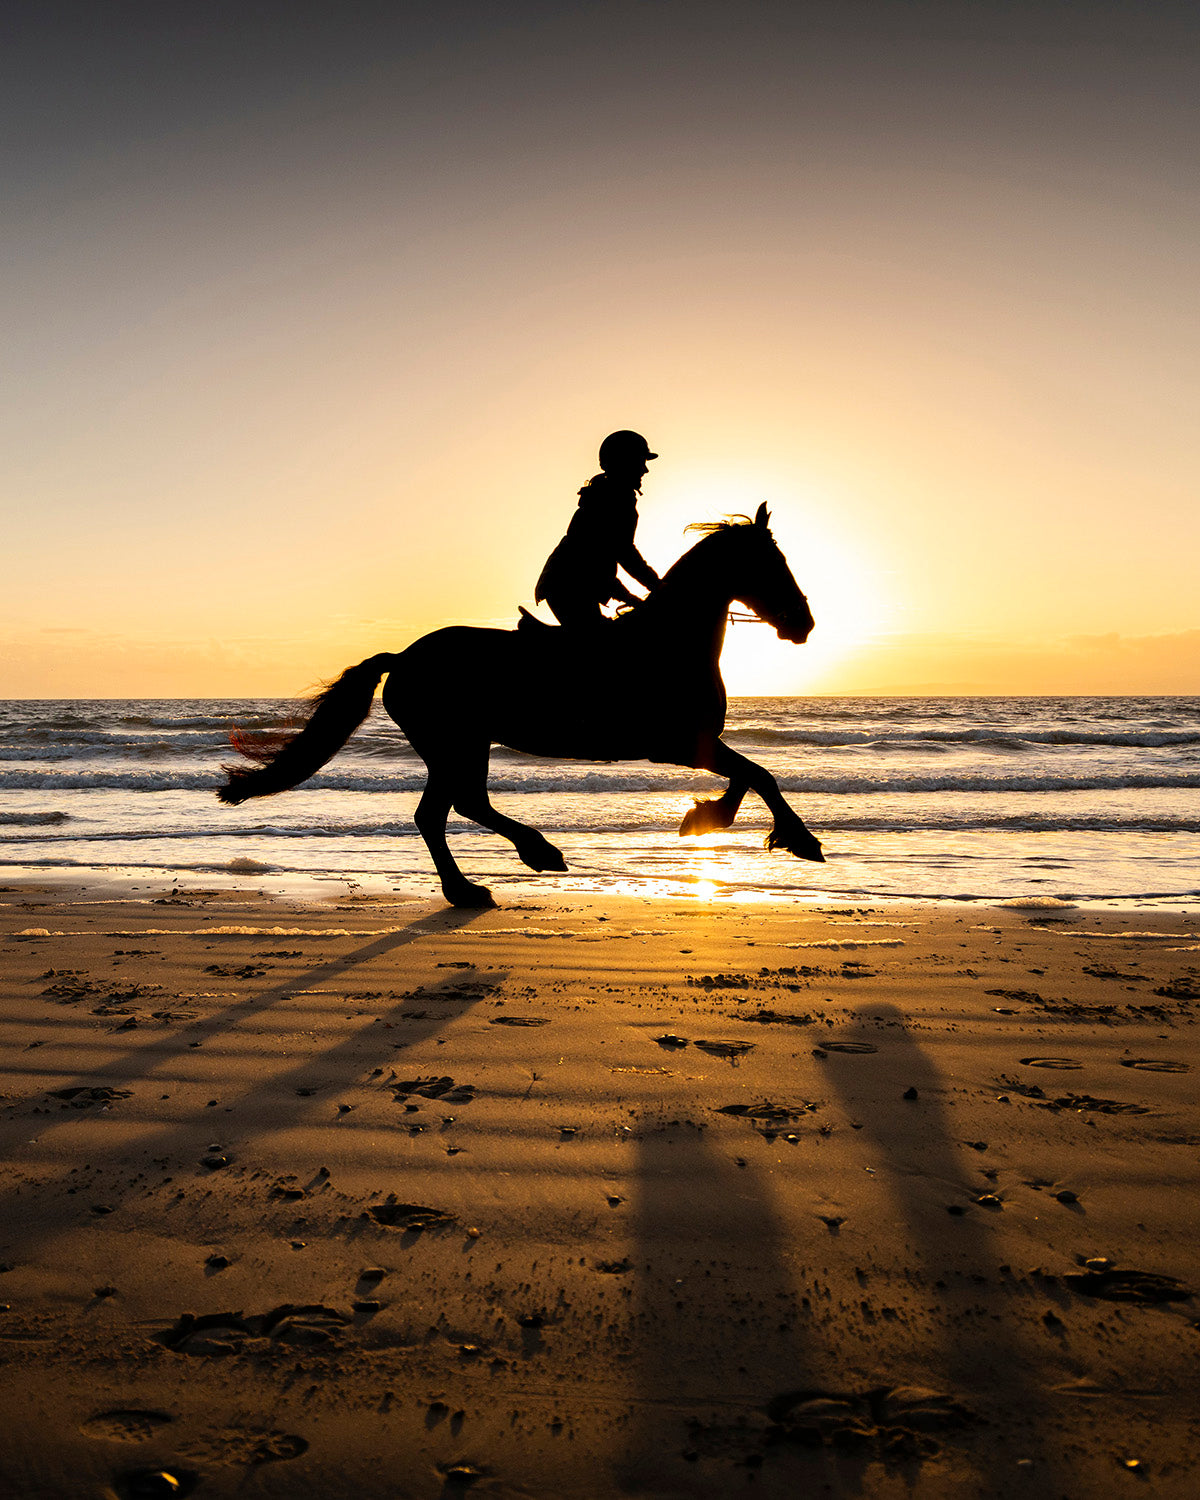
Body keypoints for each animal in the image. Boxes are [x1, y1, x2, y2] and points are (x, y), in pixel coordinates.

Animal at [217, 503, 824, 906]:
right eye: (771, 565)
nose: (804, 625)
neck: (669, 642)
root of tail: (406, 656)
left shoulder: (693, 744)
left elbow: (747, 776)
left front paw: (705, 818)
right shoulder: (675, 744)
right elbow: (759, 774)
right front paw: (799, 840)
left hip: (464, 744)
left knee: (453, 808)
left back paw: (496, 873)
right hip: (453, 743)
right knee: (445, 810)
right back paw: (509, 867)